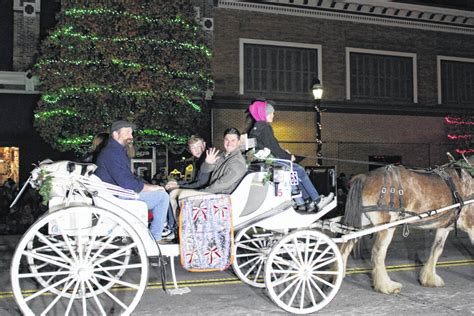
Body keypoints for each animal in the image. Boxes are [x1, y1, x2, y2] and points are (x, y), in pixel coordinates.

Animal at [340, 159, 474, 296]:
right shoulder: (471, 226)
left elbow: (436, 250)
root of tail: (364, 177)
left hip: (360, 224)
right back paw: (386, 286)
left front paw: (429, 278)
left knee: (345, 246)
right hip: (387, 226)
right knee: (378, 252)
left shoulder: (444, 227)